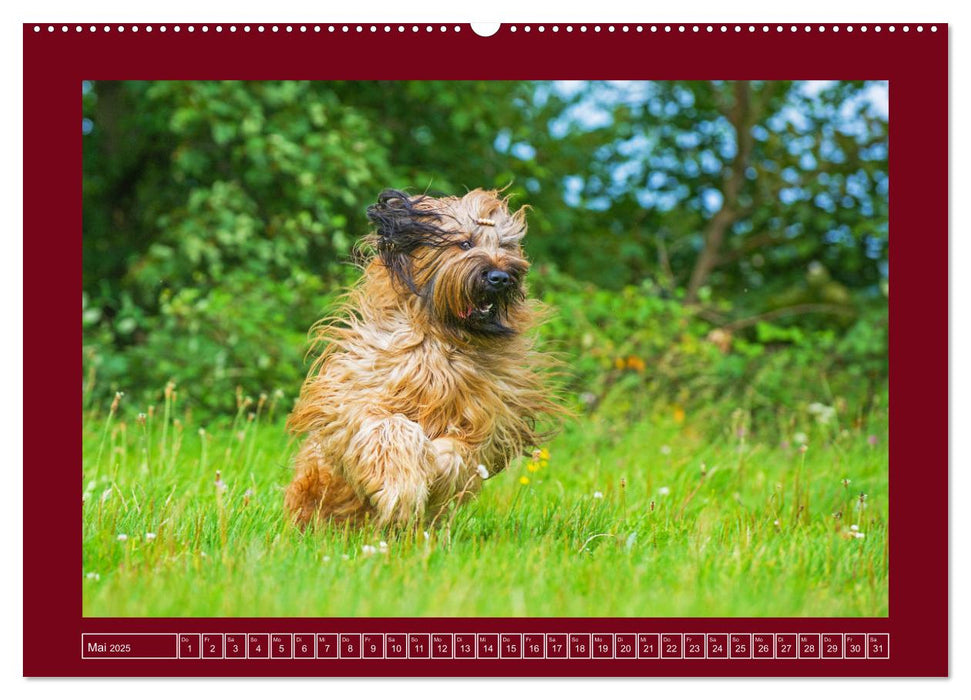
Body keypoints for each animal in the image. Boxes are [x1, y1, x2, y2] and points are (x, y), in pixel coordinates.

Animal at [284, 189, 560, 528]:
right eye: (465, 244)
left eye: (505, 246)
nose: (501, 277)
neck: (445, 341)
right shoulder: (357, 395)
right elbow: (390, 427)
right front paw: (402, 487)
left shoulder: (487, 421)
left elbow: (458, 455)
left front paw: (432, 470)